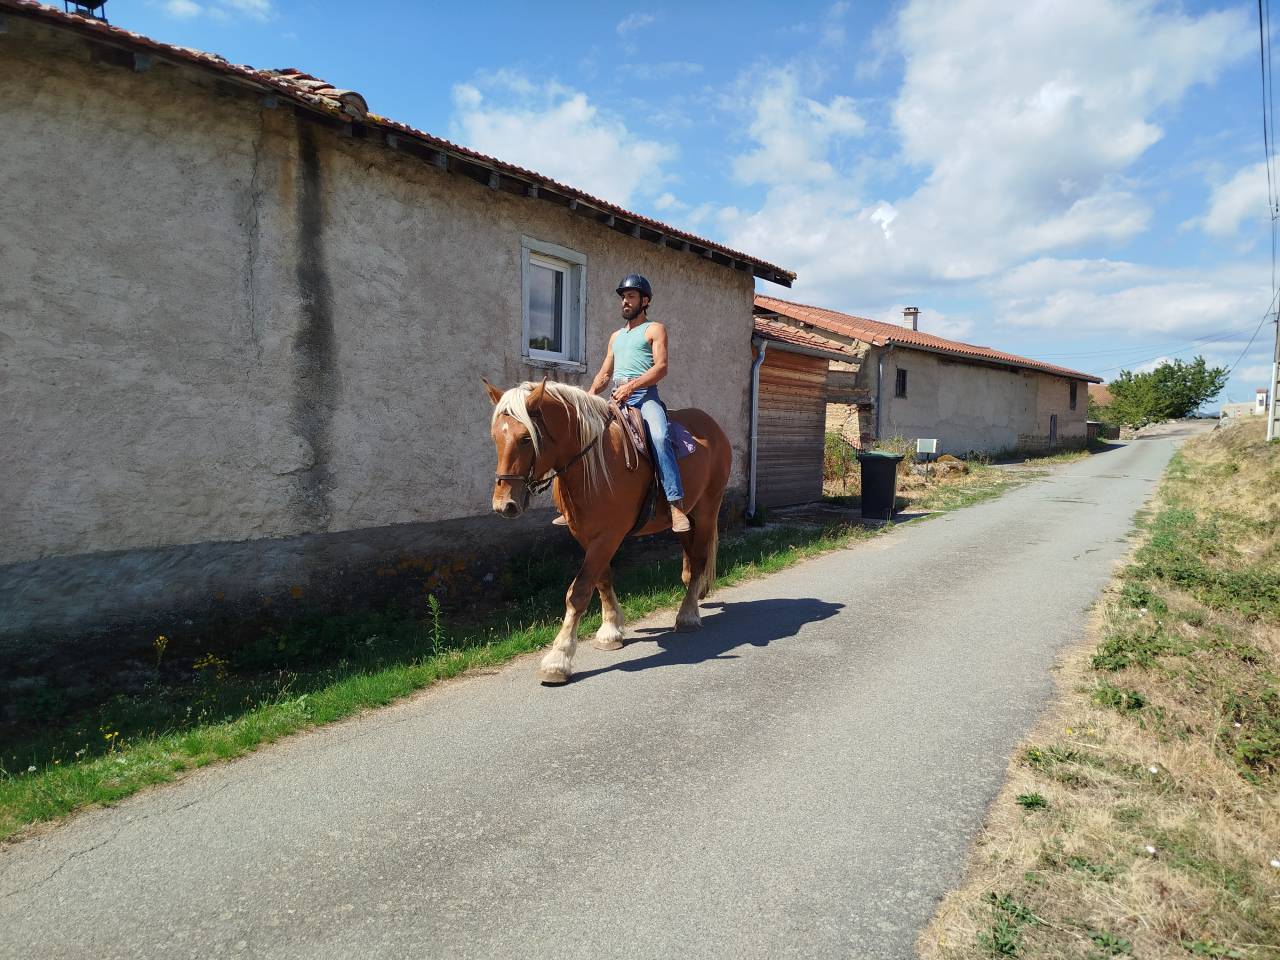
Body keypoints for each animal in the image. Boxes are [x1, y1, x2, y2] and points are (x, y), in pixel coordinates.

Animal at [484, 378, 732, 685]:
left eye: (525, 439)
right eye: (496, 437)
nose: (504, 505)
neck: (592, 464)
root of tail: (713, 426)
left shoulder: (608, 536)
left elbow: (578, 592)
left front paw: (558, 658)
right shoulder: (585, 535)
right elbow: (601, 581)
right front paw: (611, 630)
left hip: (707, 510)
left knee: (698, 560)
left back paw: (687, 616)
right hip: (687, 517)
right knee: (689, 562)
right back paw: (694, 598)